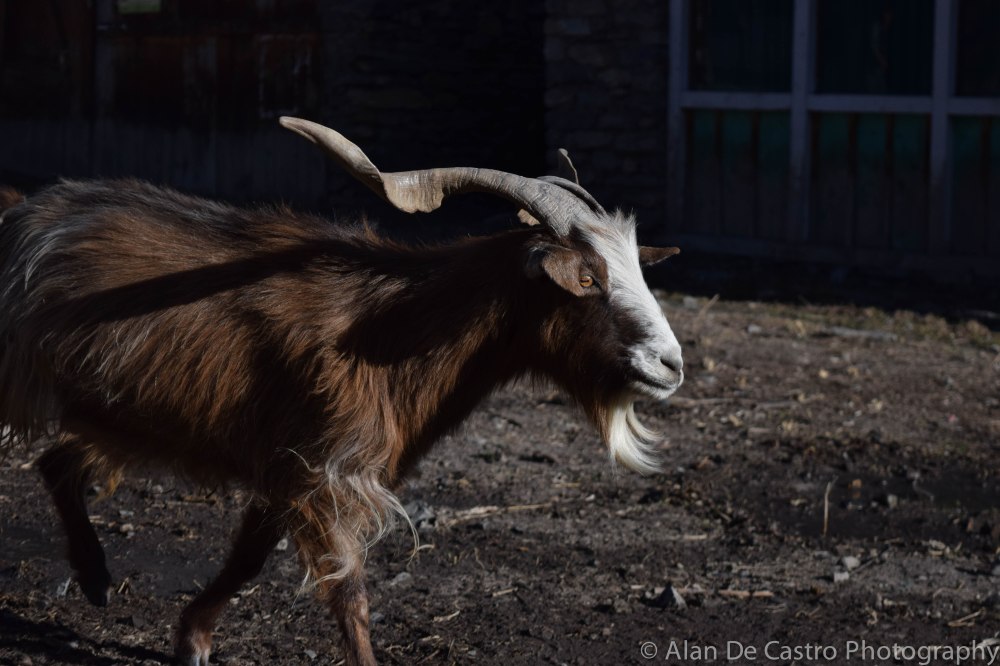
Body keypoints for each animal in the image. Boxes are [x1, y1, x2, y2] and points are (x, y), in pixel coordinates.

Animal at [0, 118, 683, 666]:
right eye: (588, 278)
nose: (670, 364)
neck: (396, 328)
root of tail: (20, 213)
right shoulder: (328, 471)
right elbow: (348, 589)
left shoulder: (290, 464)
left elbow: (249, 556)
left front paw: (191, 640)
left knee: (57, 460)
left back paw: (94, 578)